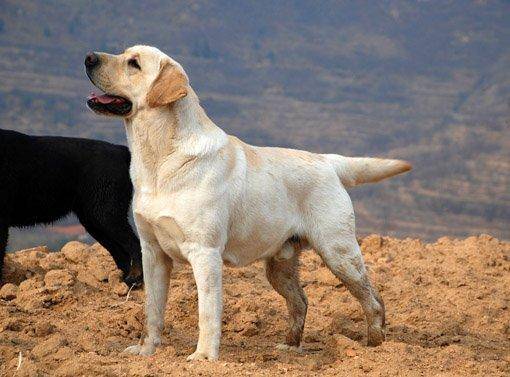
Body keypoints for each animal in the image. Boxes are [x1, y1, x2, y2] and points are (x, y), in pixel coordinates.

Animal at [0, 129, 142, 284]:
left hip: (108, 215)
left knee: (136, 245)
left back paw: (135, 278)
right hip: (94, 222)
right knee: (121, 253)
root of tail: (121, 150)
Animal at [83, 45, 410, 360]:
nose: (88, 58)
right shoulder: (152, 252)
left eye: (134, 63)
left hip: (338, 252)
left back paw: (375, 348)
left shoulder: (205, 253)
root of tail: (328, 161)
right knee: (301, 301)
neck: (160, 159)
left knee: (373, 300)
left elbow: (207, 313)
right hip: (280, 265)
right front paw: (146, 351)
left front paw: (204, 357)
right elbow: (152, 310)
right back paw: (290, 347)